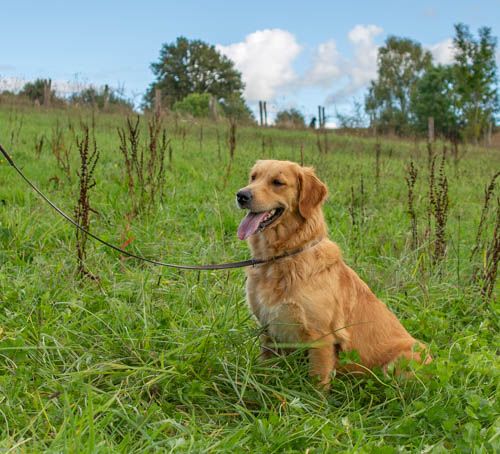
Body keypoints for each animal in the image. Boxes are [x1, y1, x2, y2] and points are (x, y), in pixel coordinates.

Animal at [237, 159, 430, 386]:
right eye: (253, 177)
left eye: (278, 182)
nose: (241, 195)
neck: (283, 256)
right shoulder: (267, 330)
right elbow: (266, 369)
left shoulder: (321, 337)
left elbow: (317, 383)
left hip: (403, 358)